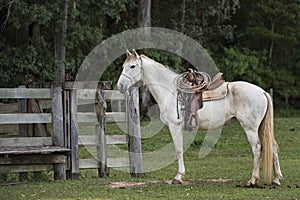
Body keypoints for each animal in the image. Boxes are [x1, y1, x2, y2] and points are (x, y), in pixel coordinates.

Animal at [116, 49, 282, 186]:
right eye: (124, 66)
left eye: (132, 66)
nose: (120, 86)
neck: (170, 91)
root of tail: (262, 92)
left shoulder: (175, 126)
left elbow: (178, 150)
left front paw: (178, 177)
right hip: (260, 128)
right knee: (273, 147)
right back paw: (276, 180)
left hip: (250, 128)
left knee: (257, 148)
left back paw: (252, 180)